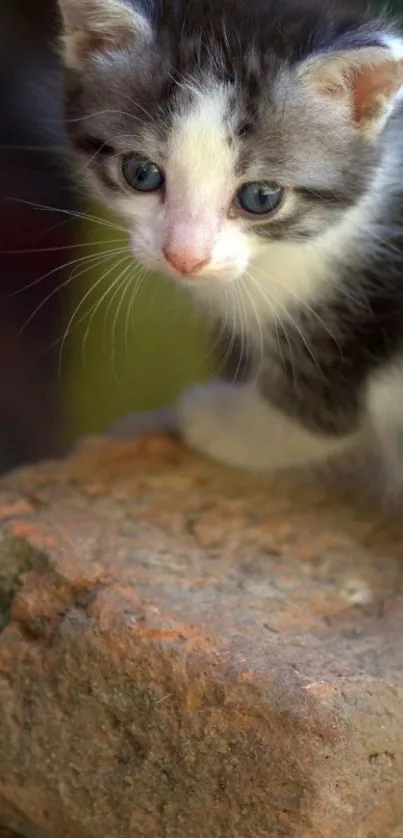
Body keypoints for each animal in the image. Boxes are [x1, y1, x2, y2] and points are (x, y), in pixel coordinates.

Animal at [57, 0, 403, 496]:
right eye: (140, 172)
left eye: (260, 197)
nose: (185, 257)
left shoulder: (353, 327)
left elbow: (314, 411)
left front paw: (214, 421)